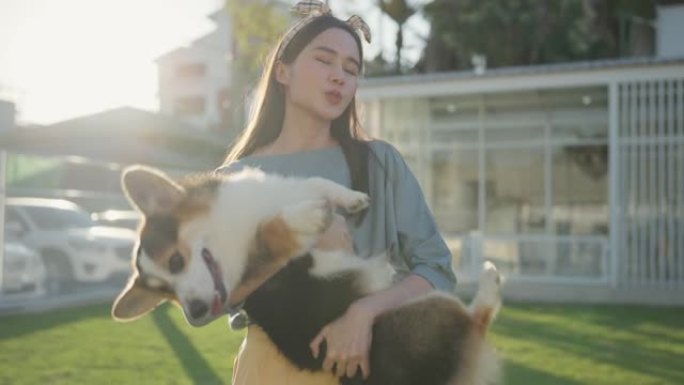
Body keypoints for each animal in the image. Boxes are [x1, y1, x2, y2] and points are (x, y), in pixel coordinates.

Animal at [112, 166, 502, 384]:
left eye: (176, 261)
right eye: (168, 293)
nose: (194, 312)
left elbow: (316, 182)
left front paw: (350, 197)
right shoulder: (264, 268)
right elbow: (273, 232)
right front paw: (308, 216)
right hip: (423, 308)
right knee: (479, 316)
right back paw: (489, 278)